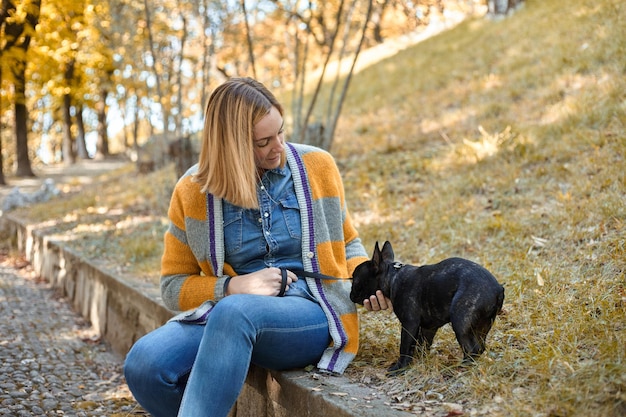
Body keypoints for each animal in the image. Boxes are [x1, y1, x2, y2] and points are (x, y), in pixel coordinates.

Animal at [352, 240, 502, 374]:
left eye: (355, 280)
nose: (351, 294)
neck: (392, 277)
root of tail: (498, 289)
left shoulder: (409, 324)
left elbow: (405, 346)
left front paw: (399, 368)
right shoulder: (428, 328)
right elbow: (422, 345)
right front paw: (420, 362)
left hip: (460, 322)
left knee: (471, 349)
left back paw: (460, 368)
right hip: (483, 325)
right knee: (480, 347)